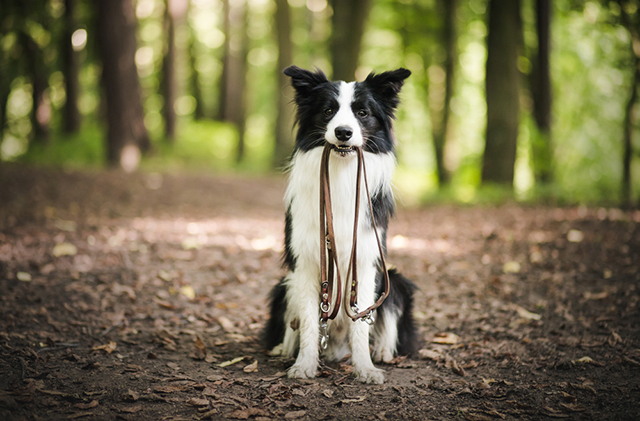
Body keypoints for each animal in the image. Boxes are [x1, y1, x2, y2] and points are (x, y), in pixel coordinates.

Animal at [262, 65, 418, 384]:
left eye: (362, 112)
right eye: (328, 110)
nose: (343, 132)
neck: (340, 172)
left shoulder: (366, 260)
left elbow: (361, 322)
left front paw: (365, 368)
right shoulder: (307, 262)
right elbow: (309, 321)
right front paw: (304, 365)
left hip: (395, 280)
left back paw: (382, 352)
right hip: (284, 285)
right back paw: (284, 349)